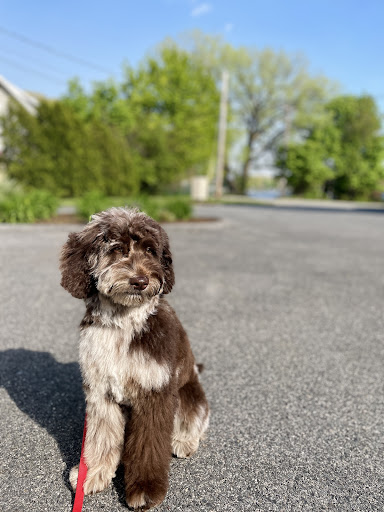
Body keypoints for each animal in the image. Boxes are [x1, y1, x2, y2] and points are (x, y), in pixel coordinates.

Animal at [59, 207, 210, 508]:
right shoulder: (100, 394)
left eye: (150, 250)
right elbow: (100, 438)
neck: (123, 323)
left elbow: (149, 446)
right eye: (116, 249)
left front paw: (145, 488)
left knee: (196, 418)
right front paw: (93, 473)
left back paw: (184, 441)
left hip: (188, 394)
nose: (141, 281)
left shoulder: (155, 392)